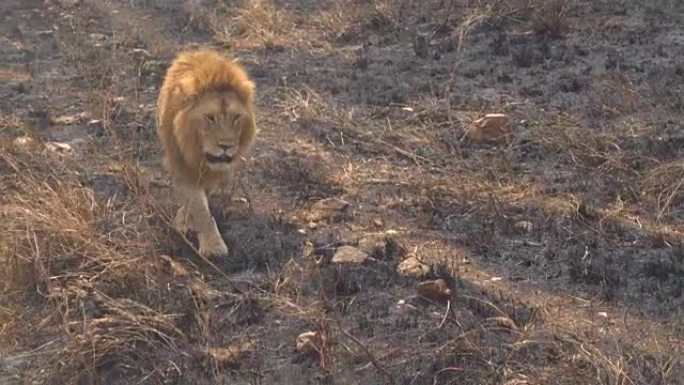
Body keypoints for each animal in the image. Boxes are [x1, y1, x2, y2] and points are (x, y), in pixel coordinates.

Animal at [156, 48, 258, 258]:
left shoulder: (220, 169)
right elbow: (199, 206)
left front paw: (184, 221)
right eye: (210, 117)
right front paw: (213, 246)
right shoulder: (181, 163)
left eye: (236, 117)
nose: (226, 145)